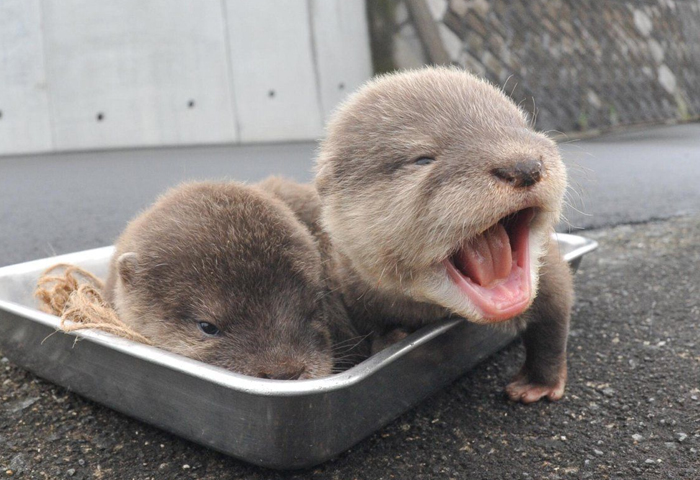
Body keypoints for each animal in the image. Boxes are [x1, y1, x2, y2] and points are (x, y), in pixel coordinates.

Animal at [302, 67, 572, 403]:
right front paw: (391, 337)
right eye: (423, 159)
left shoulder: (549, 270)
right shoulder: (350, 288)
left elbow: (553, 318)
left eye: (523, 128)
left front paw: (539, 381)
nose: (524, 166)